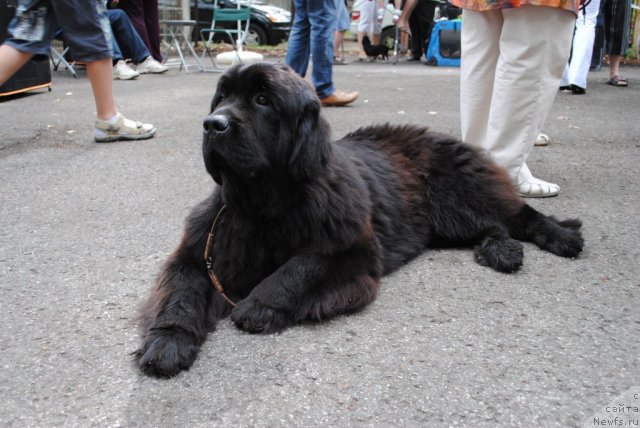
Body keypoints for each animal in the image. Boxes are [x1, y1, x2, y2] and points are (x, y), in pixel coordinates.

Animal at [136, 61, 584, 376]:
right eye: (221, 98)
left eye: (263, 100)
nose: (213, 124)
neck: (266, 203)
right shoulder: (202, 251)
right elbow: (180, 292)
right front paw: (167, 343)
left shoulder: (352, 250)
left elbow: (301, 265)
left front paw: (259, 305)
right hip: (449, 222)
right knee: (493, 227)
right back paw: (502, 251)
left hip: (459, 198)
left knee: (517, 215)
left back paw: (560, 237)